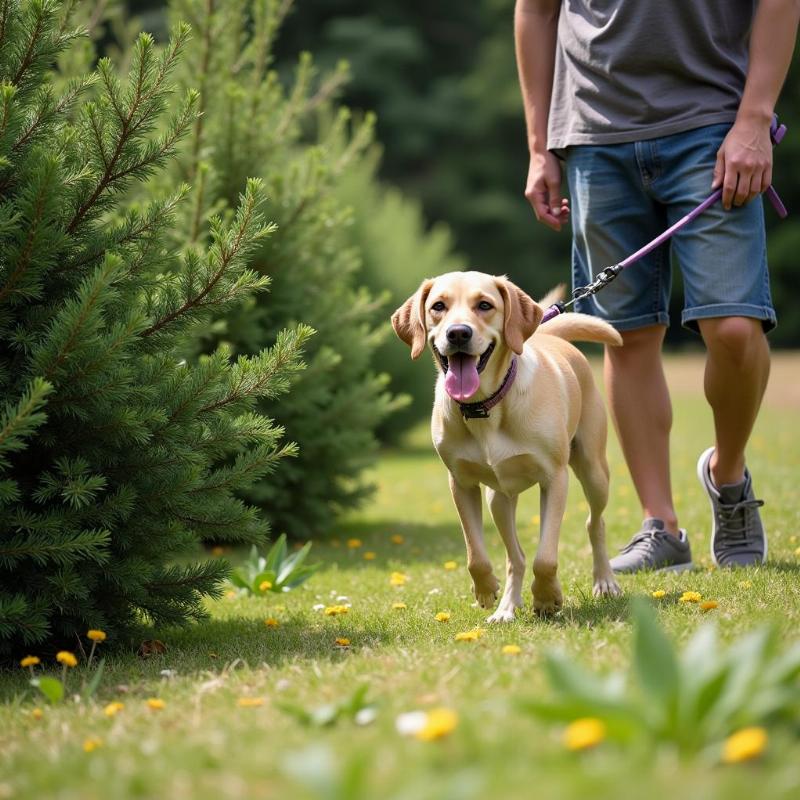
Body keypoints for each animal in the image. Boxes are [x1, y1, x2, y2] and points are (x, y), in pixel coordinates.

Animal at [390, 272, 620, 620]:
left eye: (485, 305)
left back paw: (604, 580)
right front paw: (486, 591)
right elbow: (476, 555)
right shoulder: (462, 484)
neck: (485, 406)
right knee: (516, 556)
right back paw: (507, 608)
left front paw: (547, 597)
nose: (458, 333)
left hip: (593, 470)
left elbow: (546, 557)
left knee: (596, 522)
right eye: (438, 306)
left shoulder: (555, 479)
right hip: (498, 499)